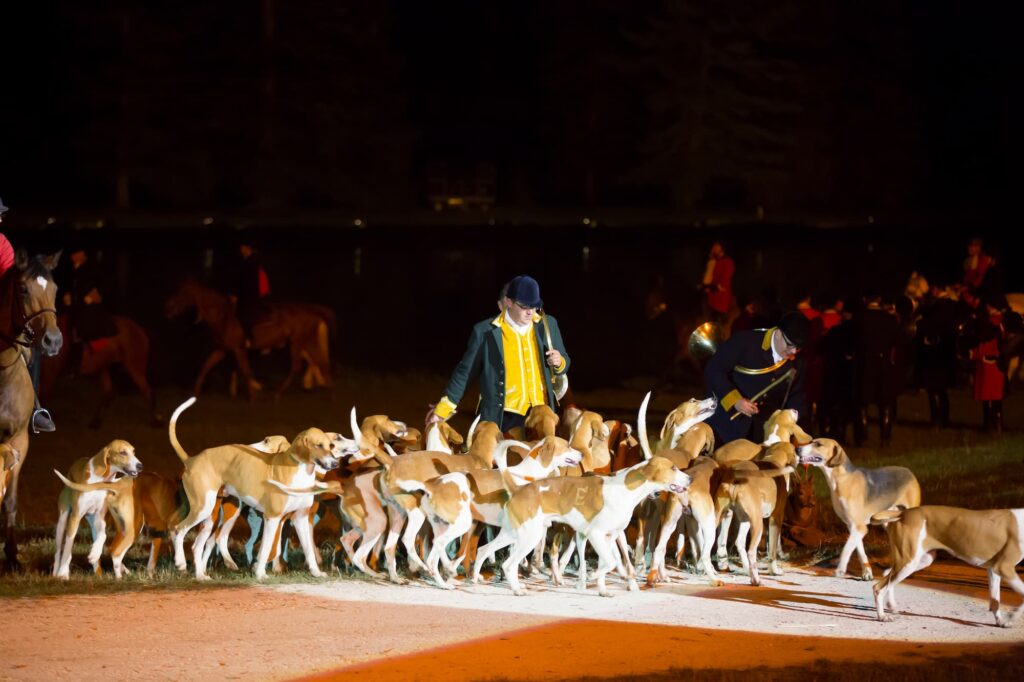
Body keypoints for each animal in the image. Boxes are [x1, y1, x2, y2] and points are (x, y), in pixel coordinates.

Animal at [162, 276, 331, 399]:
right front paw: (194, 392)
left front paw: (252, 396)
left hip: (299, 342)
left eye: (181, 292)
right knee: (319, 362)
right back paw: (329, 392)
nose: (167, 308)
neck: (224, 317)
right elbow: (206, 366)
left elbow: (245, 370)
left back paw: (281, 393)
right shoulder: (222, 350)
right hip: (305, 342)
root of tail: (313, 311)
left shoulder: (238, 349)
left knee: (302, 365)